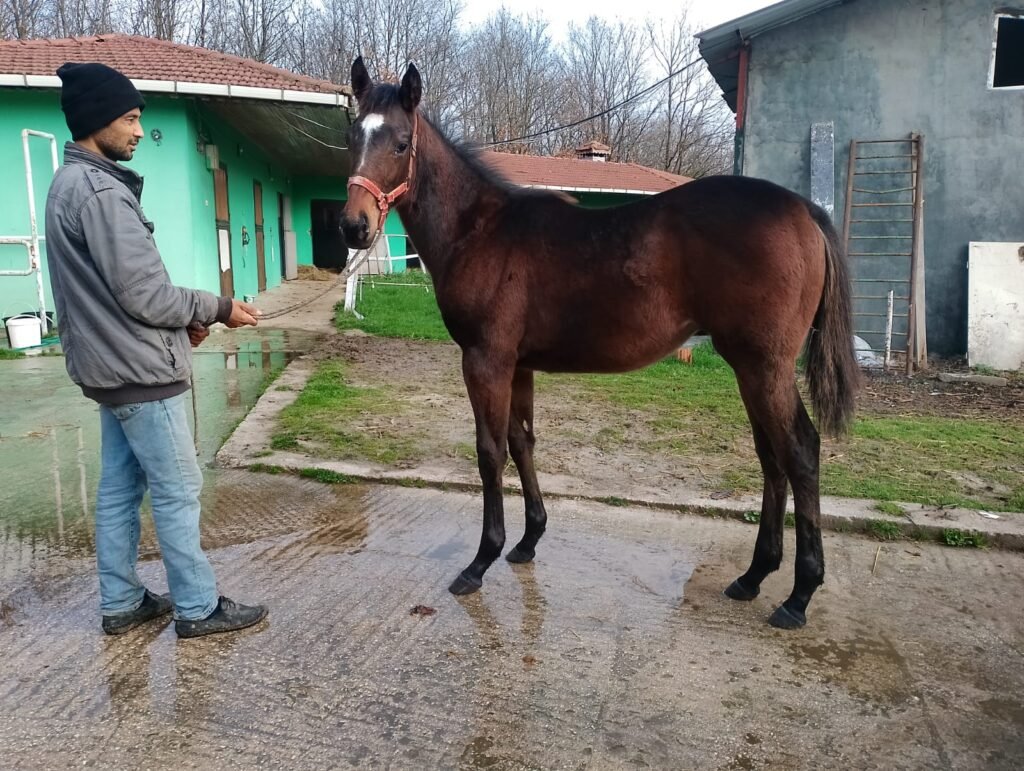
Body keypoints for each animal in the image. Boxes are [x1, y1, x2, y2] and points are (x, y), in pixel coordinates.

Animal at [340, 58, 859, 629]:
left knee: (800, 451)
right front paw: (528, 540)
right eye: (352, 136)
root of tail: (806, 209)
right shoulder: (518, 365)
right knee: (771, 456)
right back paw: (752, 577)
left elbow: (490, 453)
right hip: (750, 368)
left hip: (765, 366)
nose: (353, 226)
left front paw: (480, 562)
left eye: (401, 143)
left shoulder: (485, 361)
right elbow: (522, 442)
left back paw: (799, 595)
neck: (481, 231)